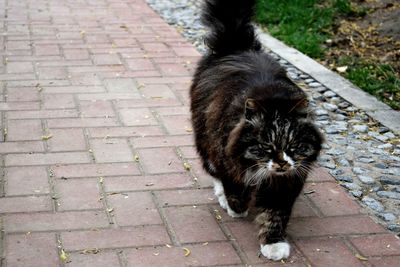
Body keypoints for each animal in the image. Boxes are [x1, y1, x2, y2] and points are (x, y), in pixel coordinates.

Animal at [189, 0, 324, 262]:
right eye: (266, 146)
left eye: (293, 146)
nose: (281, 163)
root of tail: (237, 46)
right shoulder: (228, 161)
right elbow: (234, 191)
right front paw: (236, 207)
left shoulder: (286, 182)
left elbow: (275, 215)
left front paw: (273, 243)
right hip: (204, 138)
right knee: (212, 171)